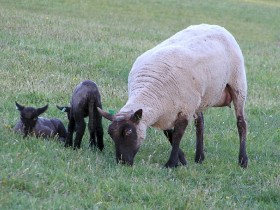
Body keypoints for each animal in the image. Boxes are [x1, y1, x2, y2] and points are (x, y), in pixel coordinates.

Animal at [98, 23, 249, 168]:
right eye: (110, 134)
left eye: (129, 132)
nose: (122, 162)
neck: (148, 93)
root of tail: (217, 26)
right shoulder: (166, 113)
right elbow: (169, 135)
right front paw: (181, 161)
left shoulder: (184, 110)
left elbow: (177, 136)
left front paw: (171, 164)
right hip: (199, 100)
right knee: (200, 123)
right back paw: (199, 158)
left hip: (238, 84)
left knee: (241, 123)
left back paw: (243, 161)